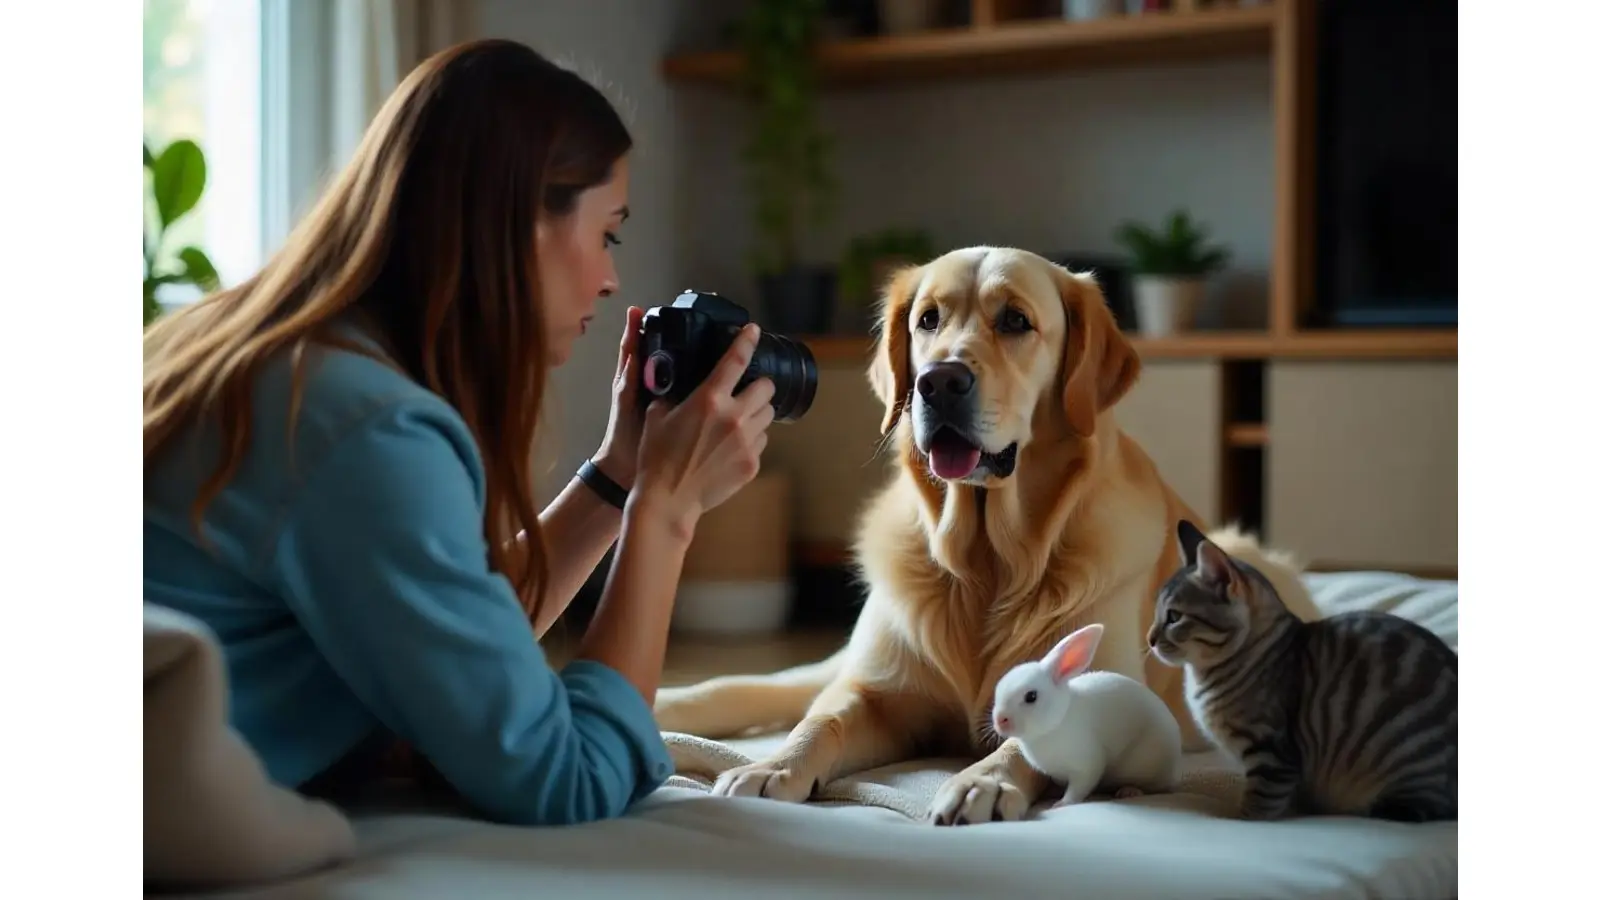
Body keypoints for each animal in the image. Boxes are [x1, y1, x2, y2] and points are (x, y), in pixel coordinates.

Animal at [992, 621, 1184, 800]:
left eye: (1031, 696)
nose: (1000, 721)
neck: (1057, 722)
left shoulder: (1087, 765)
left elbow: (1078, 788)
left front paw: (1061, 803)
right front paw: (1054, 793)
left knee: (1154, 787)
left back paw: (1129, 791)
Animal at [1145, 518, 1459, 819]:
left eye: (1174, 617)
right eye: (1157, 614)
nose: (1149, 639)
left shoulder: (1271, 754)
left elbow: (1257, 807)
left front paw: (1238, 818)